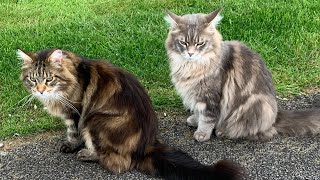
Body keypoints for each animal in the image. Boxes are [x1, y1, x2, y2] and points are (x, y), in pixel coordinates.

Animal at [17, 48, 242, 179]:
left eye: (49, 79)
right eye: (33, 79)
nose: (40, 90)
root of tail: (145, 145)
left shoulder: (76, 112)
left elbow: (73, 132)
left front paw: (72, 145)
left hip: (95, 120)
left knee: (118, 163)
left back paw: (88, 154)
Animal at [165, 8, 320, 142]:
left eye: (200, 43)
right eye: (183, 42)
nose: (190, 53)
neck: (190, 67)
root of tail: (275, 117)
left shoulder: (209, 97)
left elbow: (206, 119)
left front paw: (202, 134)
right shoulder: (195, 95)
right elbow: (198, 112)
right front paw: (194, 120)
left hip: (254, 106)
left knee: (260, 132)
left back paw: (222, 131)